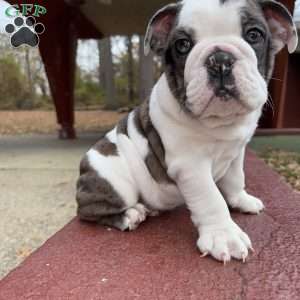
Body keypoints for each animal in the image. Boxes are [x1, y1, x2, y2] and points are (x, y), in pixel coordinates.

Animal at [77, 0, 298, 262]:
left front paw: (241, 200)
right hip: (116, 182)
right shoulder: (191, 167)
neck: (221, 124)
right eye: (182, 45)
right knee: (90, 211)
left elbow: (236, 178)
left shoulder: (236, 153)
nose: (219, 59)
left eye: (254, 35)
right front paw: (224, 235)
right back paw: (130, 214)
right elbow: (211, 199)